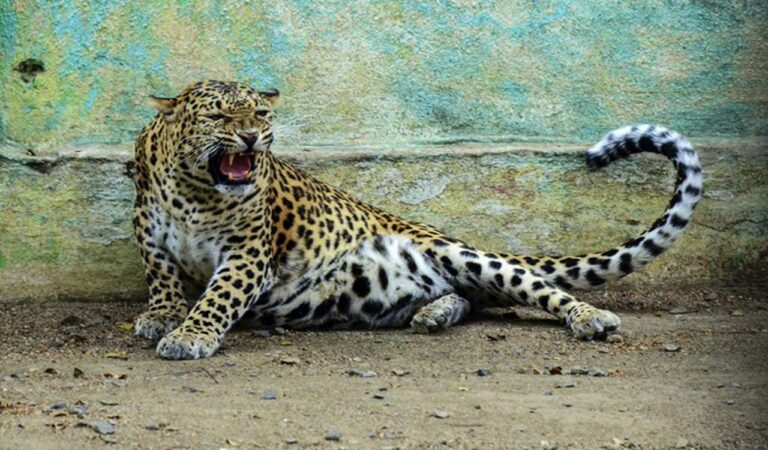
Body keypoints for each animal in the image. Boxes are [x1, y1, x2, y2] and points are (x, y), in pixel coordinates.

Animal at [132, 80, 703, 360]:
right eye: (218, 116)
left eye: (261, 114)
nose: (251, 137)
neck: (194, 192)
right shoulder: (149, 231)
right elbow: (161, 275)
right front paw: (163, 315)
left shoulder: (248, 253)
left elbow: (219, 297)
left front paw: (190, 335)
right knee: (468, 298)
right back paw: (433, 314)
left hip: (463, 255)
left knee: (536, 288)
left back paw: (590, 318)